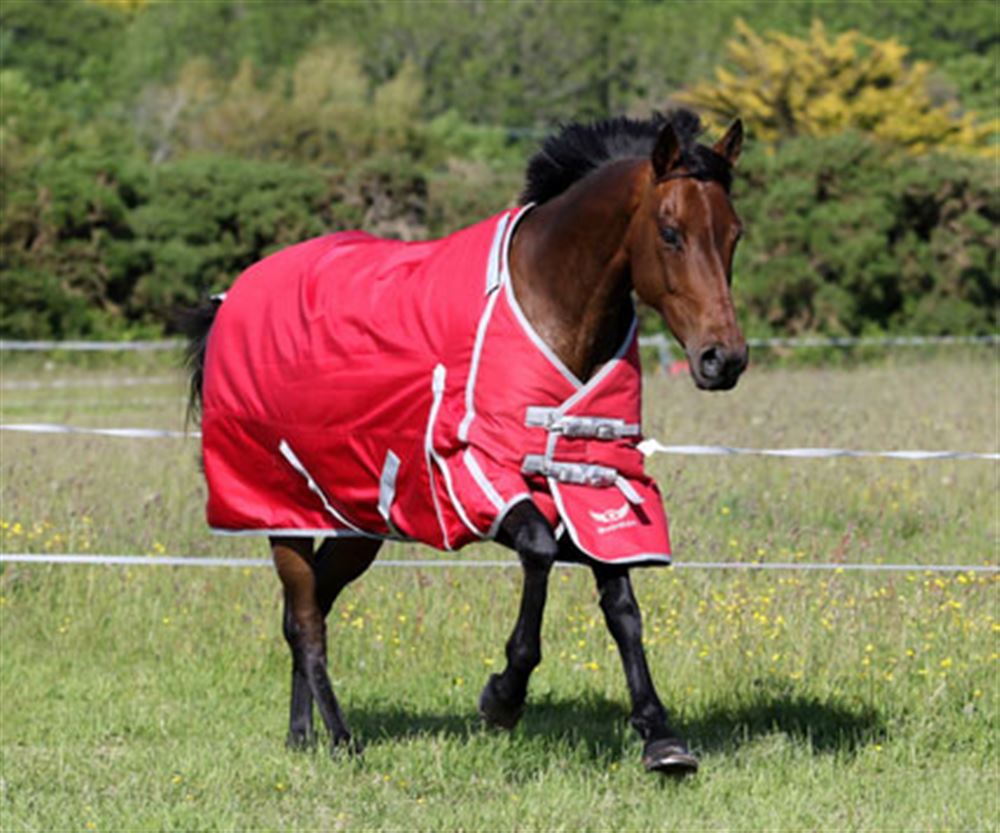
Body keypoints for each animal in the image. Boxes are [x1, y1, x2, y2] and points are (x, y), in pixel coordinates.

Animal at [186, 109, 752, 772]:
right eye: (670, 232)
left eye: (734, 233)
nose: (723, 359)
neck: (547, 303)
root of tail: (230, 300)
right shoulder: (477, 480)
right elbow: (539, 550)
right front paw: (504, 696)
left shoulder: (593, 479)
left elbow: (622, 606)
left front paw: (660, 735)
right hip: (283, 512)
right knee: (304, 620)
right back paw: (343, 738)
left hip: (357, 520)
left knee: (310, 608)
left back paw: (303, 735)